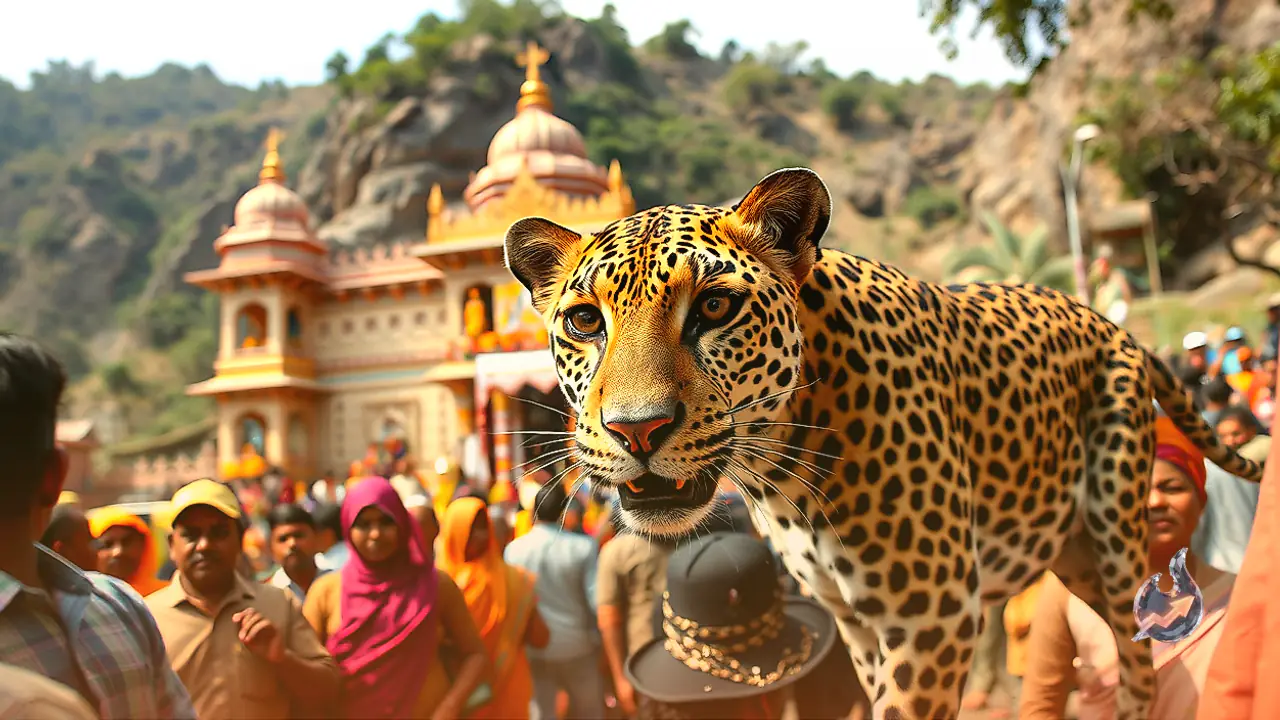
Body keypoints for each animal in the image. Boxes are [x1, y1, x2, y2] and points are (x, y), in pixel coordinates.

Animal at [502, 167, 1264, 719]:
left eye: (714, 307)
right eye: (583, 321)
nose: (637, 428)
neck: (784, 473)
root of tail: (1111, 324)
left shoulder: (932, 617)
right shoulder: (858, 624)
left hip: (1115, 535)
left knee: (1138, 662)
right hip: (1071, 552)